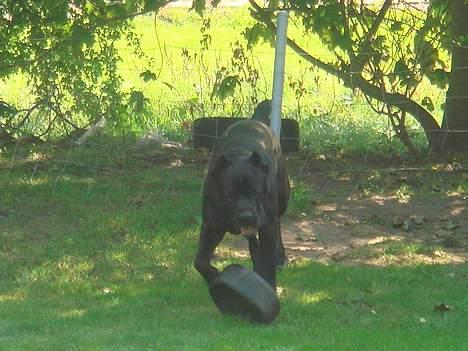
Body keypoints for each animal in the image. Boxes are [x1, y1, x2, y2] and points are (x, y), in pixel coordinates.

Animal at [194, 102, 288, 292]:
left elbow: (268, 261)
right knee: (253, 241)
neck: (239, 155)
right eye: (229, 197)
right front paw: (213, 276)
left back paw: (279, 257)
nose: (246, 216)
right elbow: (200, 261)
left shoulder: (267, 226)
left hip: (282, 200)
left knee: (278, 225)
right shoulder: (212, 225)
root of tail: (255, 120)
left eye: (256, 193)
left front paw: (269, 284)